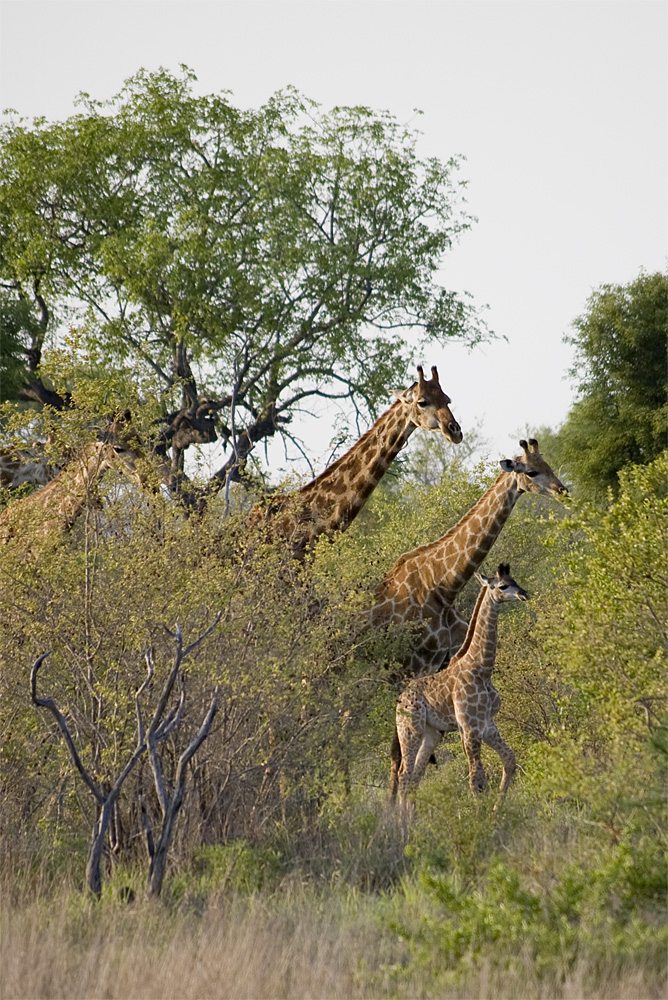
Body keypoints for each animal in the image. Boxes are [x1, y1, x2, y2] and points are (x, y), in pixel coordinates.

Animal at [368, 436, 568, 672]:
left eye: (548, 465)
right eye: (531, 472)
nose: (563, 491)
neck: (443, 587)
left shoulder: (445, 658)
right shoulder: (416, 663)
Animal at [388, 564, 528, 820]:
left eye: (515, 581)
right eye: (503, 586)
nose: (524, 594)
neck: (481, 668)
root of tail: (400, 699)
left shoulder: (486, 724)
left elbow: (509, 760)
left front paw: (496, 811)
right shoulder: (470, 728)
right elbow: (476, 778)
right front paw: (480, 819)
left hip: (431, 733)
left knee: (414, 776)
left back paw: (412, 821)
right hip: (410, 728)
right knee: (404, 773)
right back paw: (401, 823)